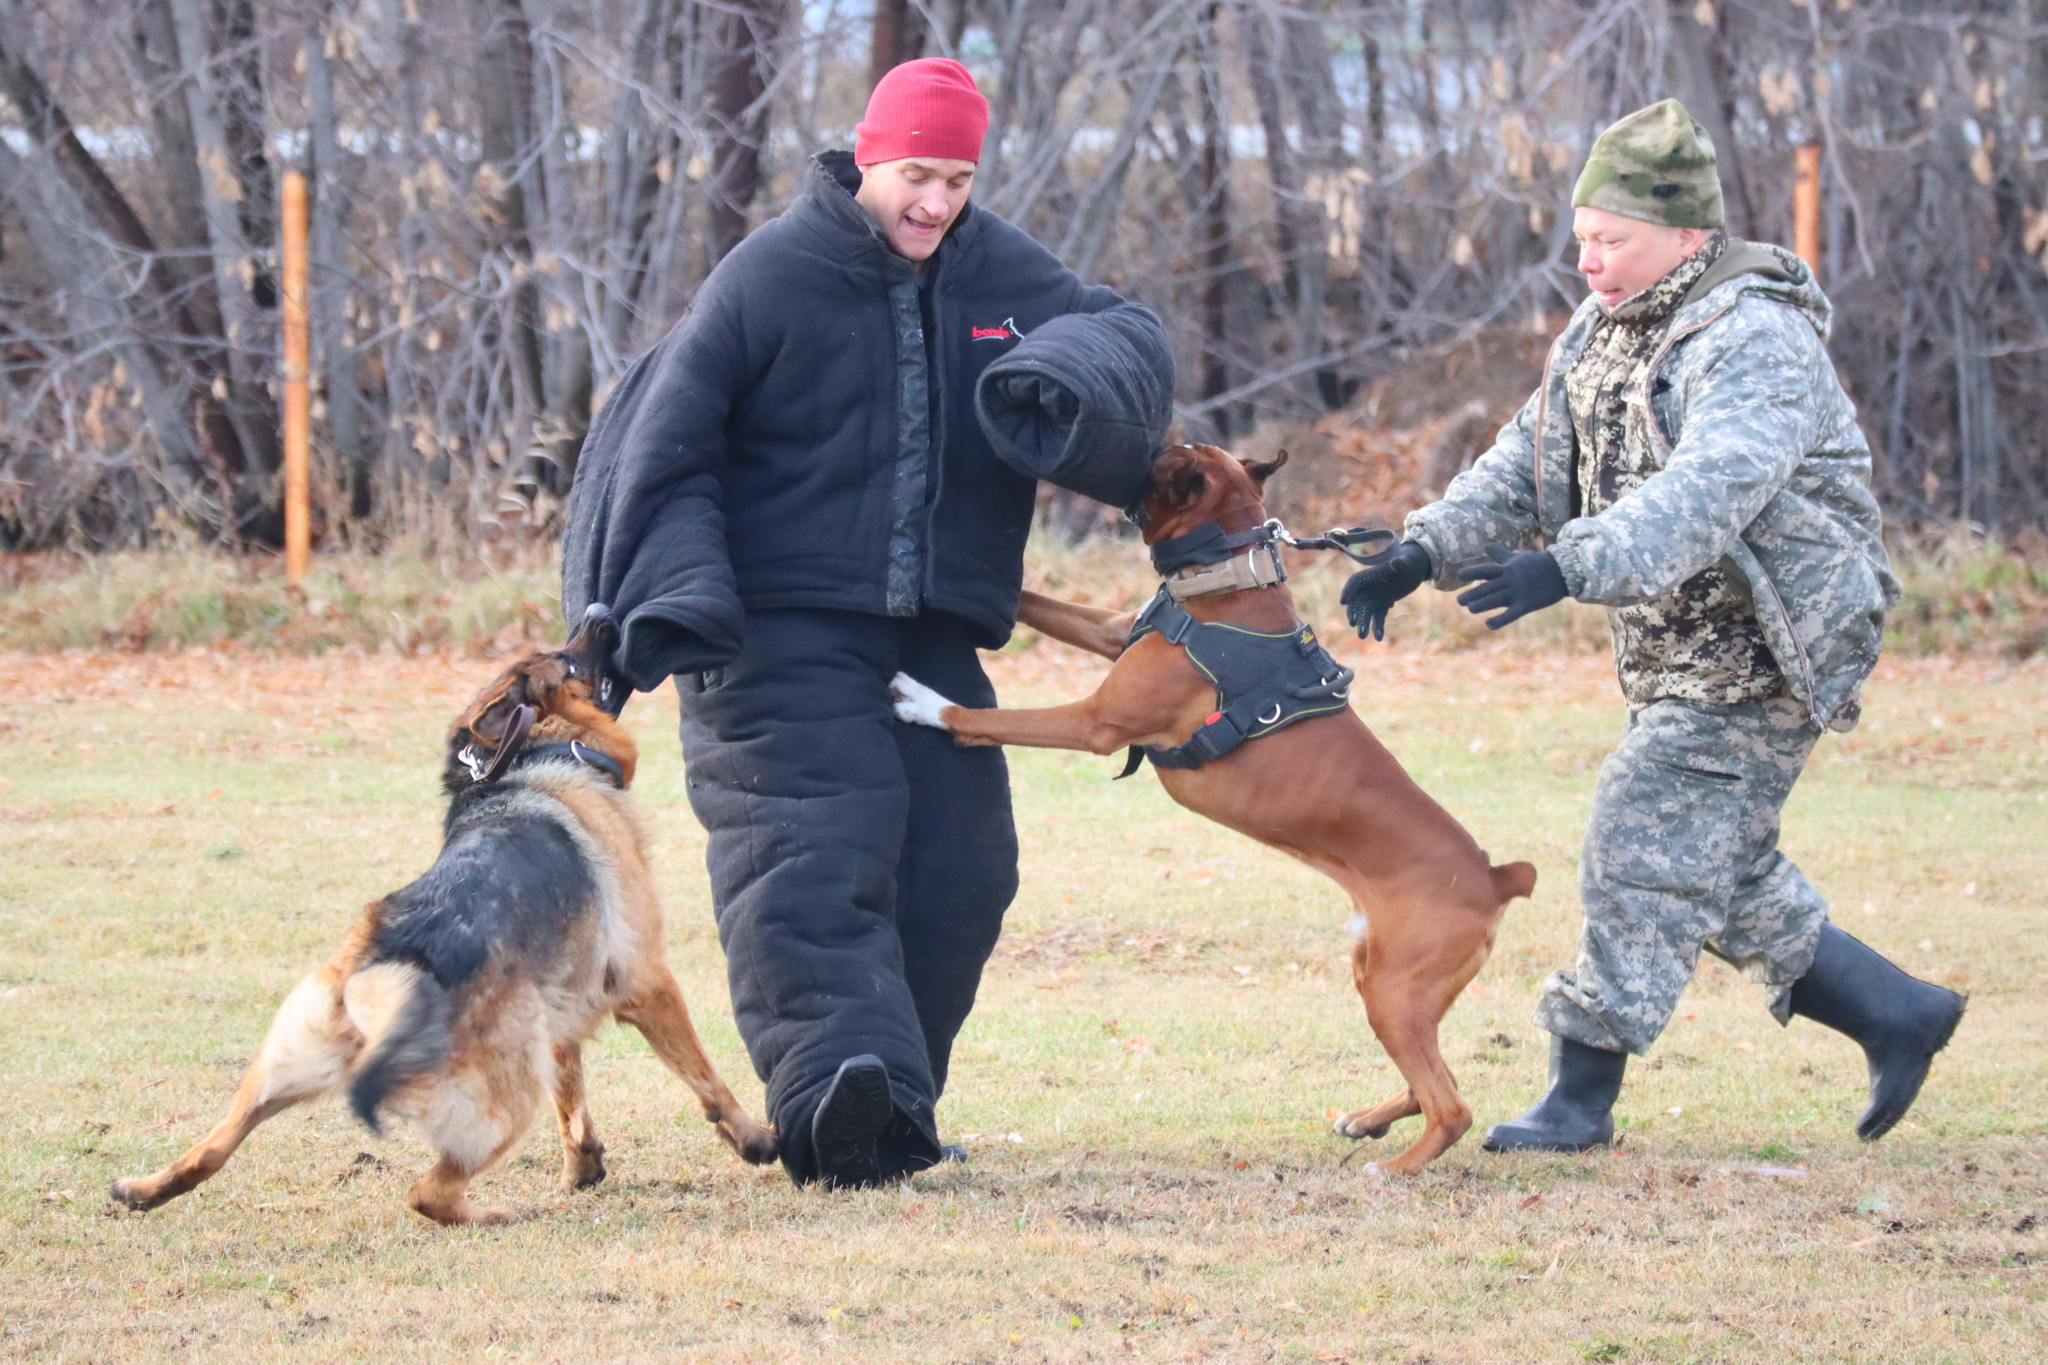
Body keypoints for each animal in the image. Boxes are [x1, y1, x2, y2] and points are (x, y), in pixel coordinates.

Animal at [116, 609, 778, 1227]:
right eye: (566, 661)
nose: (597, 611)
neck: (533, 757)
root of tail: (388, 979)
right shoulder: (648, 982)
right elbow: (707, 1078)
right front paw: (754, 1139)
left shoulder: (558, 1009)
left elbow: (571, 1099)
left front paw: (581, 1166)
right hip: (502, 1104)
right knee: (427, 1193)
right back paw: (499, 1214)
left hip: (279, 1071)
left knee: (210, 1149)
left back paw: (142, 1190)